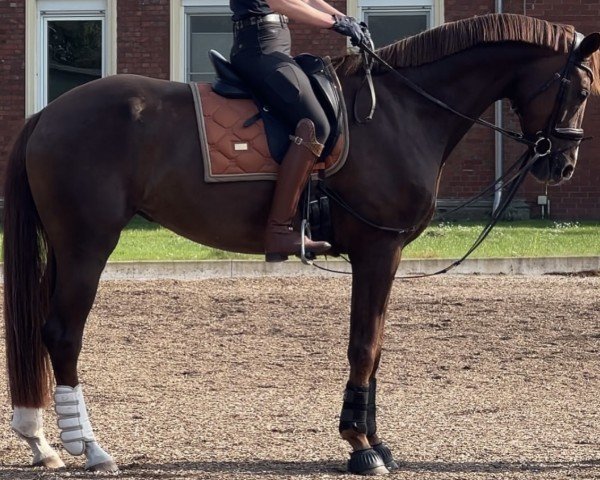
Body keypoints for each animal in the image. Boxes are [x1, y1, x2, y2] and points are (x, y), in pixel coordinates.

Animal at [4, 12, 600, 476]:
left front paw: (374, 440)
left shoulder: (382, 255)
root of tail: (49, 111)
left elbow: (374, 345)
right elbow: (364, 346)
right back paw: (89, 447)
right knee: (64, 334)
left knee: (41, 330)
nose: (563, 164)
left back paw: (40, 440)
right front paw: (360, 447)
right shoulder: (378, 250)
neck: (401, 113)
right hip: (88, 244)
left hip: (65, 246)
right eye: (579, 90)